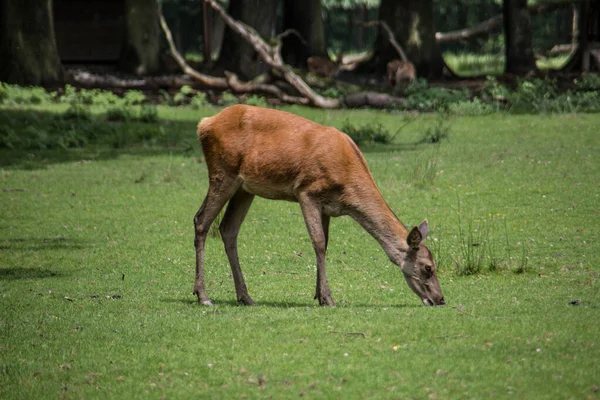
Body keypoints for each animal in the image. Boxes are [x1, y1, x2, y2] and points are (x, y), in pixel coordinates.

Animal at [193, 104, 446, 308]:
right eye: (428, 268)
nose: (440, 299)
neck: (347, 187)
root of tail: (204, 124)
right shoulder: (306, 191)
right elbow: (318, 243)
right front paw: (329, 298)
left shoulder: (329, 208)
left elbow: (325, 243)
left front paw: (319, 296)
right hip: (222, 171)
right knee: (201, 221)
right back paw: (203, 296)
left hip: (245, 188)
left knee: (228, 229)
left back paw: (245, 297)